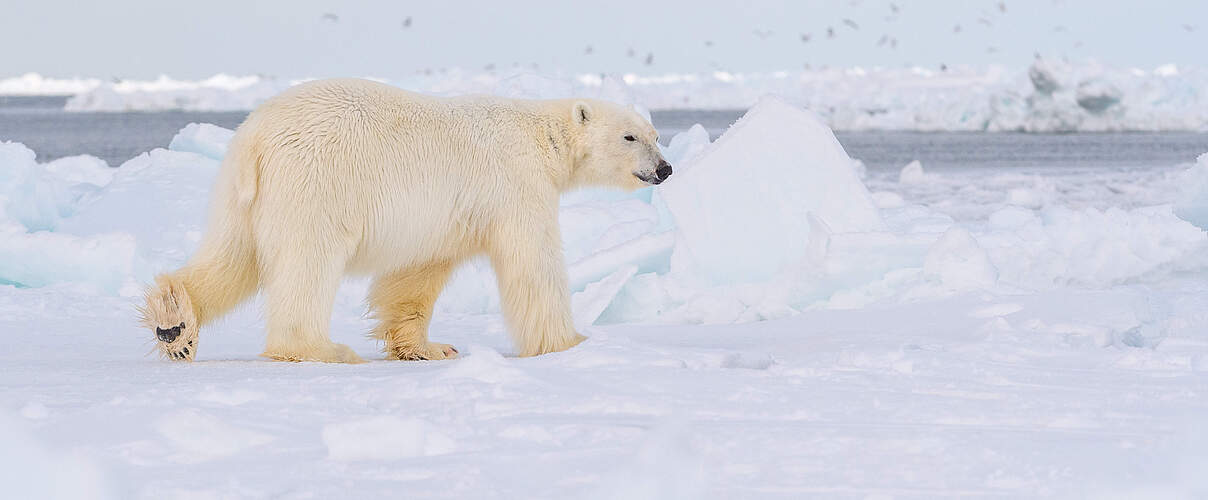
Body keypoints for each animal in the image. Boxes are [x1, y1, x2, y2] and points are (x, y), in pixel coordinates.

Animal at [141, 77, 676, 362]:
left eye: (654, 133)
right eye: (630, 137)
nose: (665, 169)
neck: (540, 136)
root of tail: (255, 134)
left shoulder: (445, 214)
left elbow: (418, 273)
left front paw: (429, 347)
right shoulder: (514, 184)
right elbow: (532, 263)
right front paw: (570, 342)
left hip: (243, 196)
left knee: (233, 257)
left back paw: (175, 323)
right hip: (316, 182)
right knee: (306, 263)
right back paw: (320, 348)